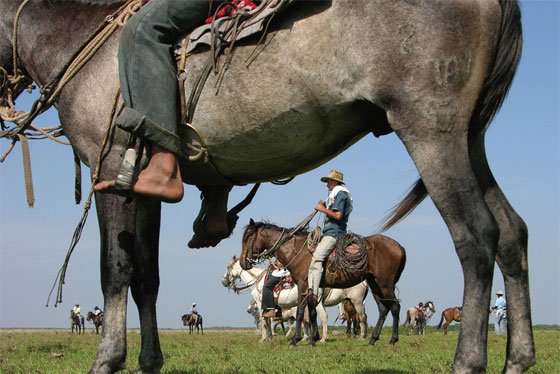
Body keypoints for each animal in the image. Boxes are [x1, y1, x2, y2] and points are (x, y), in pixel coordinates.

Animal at [221, 258, 370, 342]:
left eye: (228, 267)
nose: (224, 281)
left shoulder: (261, 303)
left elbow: (264, 321)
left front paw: (263, 339)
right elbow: (269, 321)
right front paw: (269, 337)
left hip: (352, 302)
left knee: (354, 317)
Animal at [238, 219, 404, 348]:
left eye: (247, 238)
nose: (243, 263)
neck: (297, 251)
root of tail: (399, 246)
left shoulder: (302, 285)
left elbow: (300, 312)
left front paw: (295, 340)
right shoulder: (312, 287)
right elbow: (312, 313)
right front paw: (313, 339)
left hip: (384, 285)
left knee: (394, 307)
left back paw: (392, 340)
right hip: (375, 284)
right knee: (383, 309)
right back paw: (372, 340)